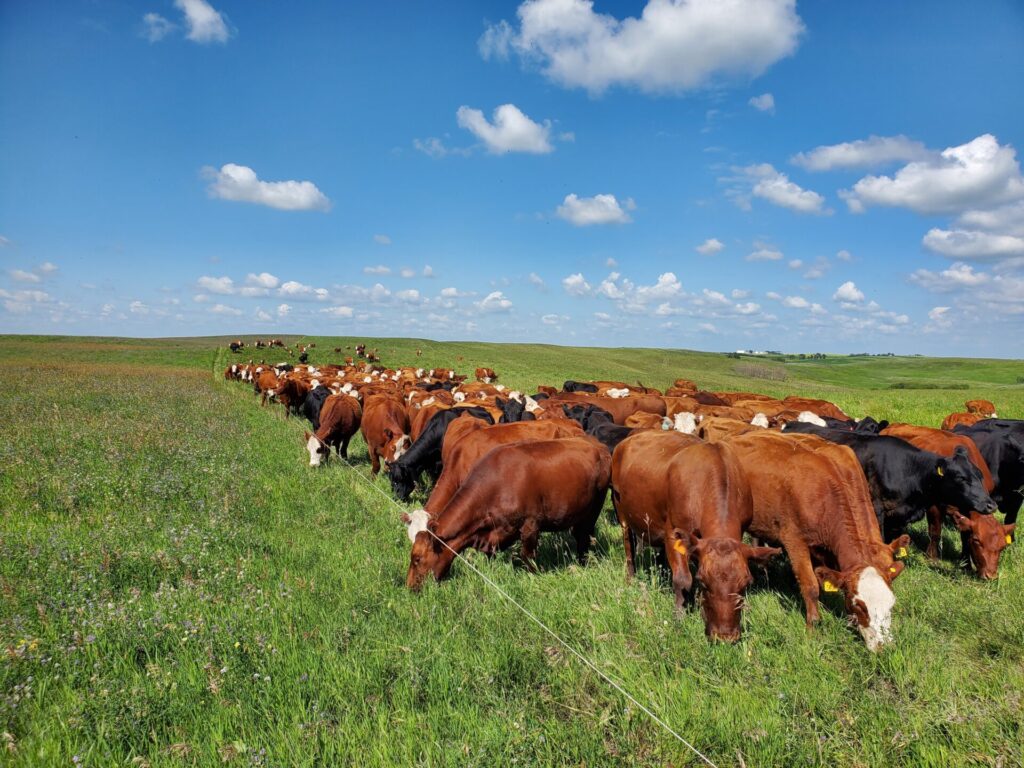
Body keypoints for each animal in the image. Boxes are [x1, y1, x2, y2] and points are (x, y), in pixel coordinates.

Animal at [401, 436, 610, 593]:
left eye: (417, 559)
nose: (409, 588)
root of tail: (597, 444)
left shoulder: (530, 526)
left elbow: (528, 557)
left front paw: (532, 579)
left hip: (594, 507)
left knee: (583, 538)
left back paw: (582, 564)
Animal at [606, 434, 774, 643]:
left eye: (746, 584)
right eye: (703, 582)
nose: (724, 637)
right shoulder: (673, 532)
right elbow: (683, 579)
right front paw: (679, 615)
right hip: (621, 513)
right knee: (629, 547)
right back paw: (630, 579)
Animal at [724, 430, 909, 651]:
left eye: (891, 603)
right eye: (859, 605)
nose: (884, 647)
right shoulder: (795, 541)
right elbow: (811, 586)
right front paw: (813, 627)